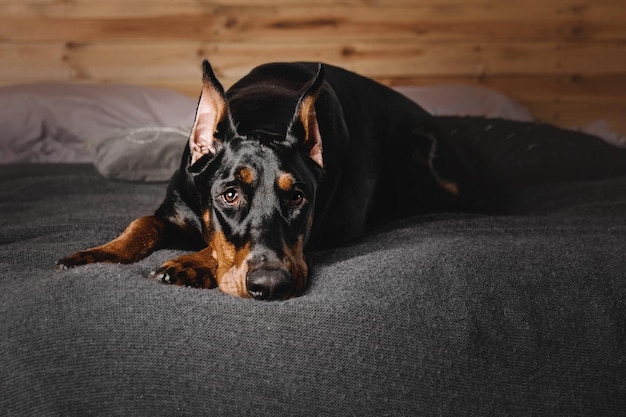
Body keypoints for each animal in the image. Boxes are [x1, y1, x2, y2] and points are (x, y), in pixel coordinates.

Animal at [56, 59, 624, 300]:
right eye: (229, 194)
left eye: (299, 198)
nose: (272, 286)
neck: (265, 112)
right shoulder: (176, 202)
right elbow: (140, 225)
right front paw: (95, 254)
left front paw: (189, 263)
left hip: (440, 161)